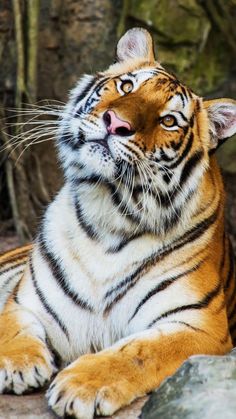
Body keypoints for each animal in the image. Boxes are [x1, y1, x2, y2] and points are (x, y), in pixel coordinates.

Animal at [0, 27, 236, 418]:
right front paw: (16, 363)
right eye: (127, 86)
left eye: (169, 120)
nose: (116, 123)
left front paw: (82, 385)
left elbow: (138, 352)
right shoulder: (24, 300)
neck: (109, 213)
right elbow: (9, 325)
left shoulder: (199, 325)